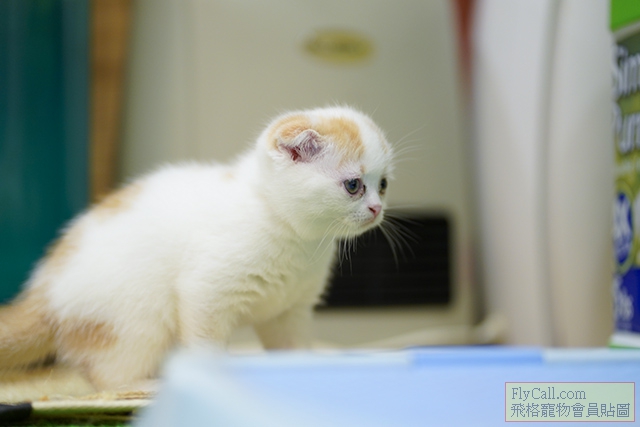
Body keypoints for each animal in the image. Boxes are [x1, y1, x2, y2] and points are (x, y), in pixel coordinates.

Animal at [0, 106, 393, 390]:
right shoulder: (205, 293)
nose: (378, 208)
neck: (296, 238)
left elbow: (292, 347)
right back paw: (145, 387)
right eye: (354, 185)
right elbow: (205, 346)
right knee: (105, 376)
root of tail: (43, 291)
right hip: (140, 321)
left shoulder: (289, 311)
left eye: (384, 184)